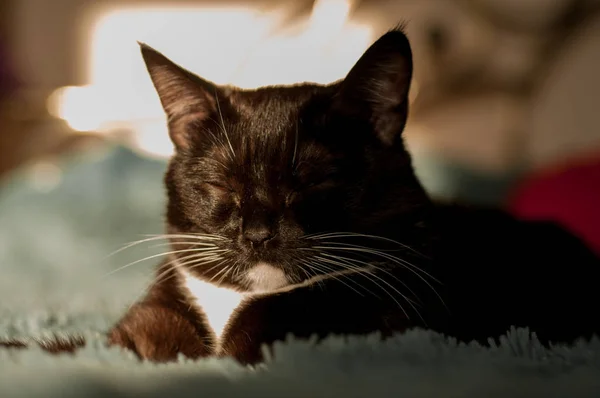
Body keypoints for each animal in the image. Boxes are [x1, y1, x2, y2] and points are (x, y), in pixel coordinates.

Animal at [1, 26, 600, 366]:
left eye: (314, 181)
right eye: (220, 185)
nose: (258, 233)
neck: (228, 307)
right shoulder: (145, 329)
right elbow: (78, 351)